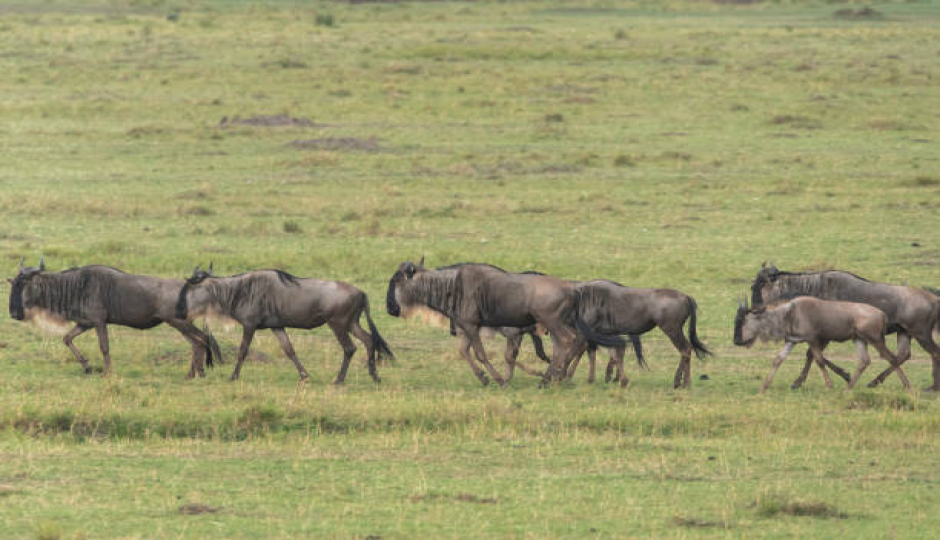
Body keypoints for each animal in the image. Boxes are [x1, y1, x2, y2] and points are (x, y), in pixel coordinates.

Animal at [732, 296, 908, 392]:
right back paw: (848, 387)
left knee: (891, 358)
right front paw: (763, 387)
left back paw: (906, 386)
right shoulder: (791, 341)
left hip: (875, 339)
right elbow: (778, 359)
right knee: (864, 361)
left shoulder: (813, 339)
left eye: (742, 320)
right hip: (859, 339)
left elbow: (819, 360)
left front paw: (829, 385)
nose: (737, 341)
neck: (789, 314)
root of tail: (882, 314)